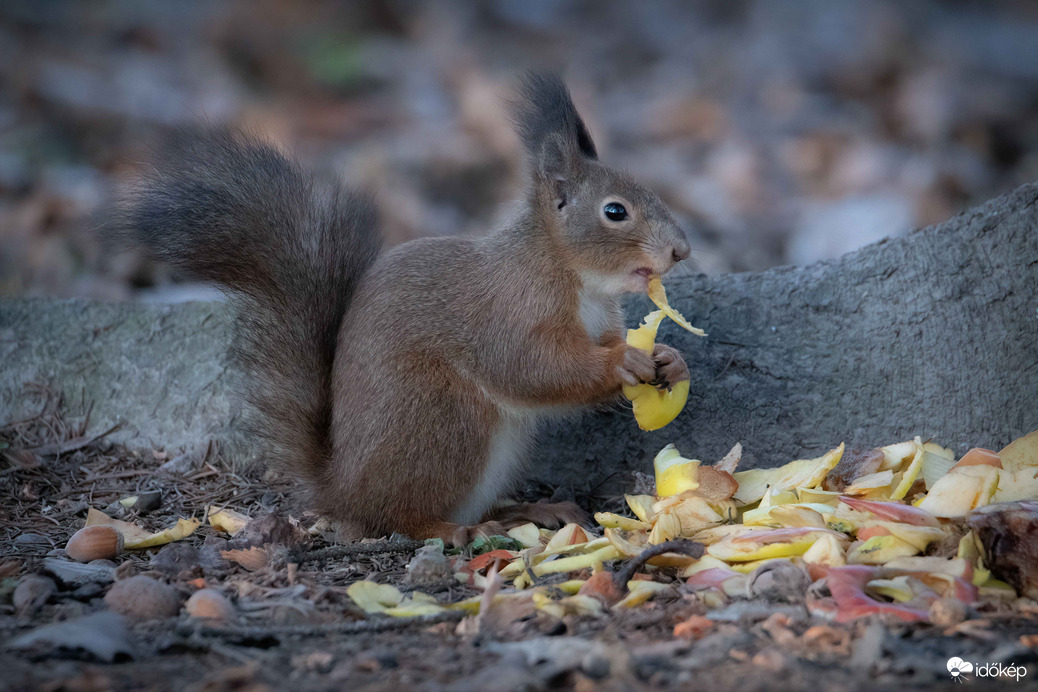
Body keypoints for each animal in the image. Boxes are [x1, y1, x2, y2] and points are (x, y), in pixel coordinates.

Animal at [117, 74, 693, 547]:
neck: (575, 277)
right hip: (444, 419)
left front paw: (668, 358)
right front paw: (621, 363)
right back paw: (455, 529)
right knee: (398, 518)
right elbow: (534, 368)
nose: (681, 250)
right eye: (615, 211)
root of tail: (342, 488)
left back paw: (529, 511)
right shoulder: (510, 311)